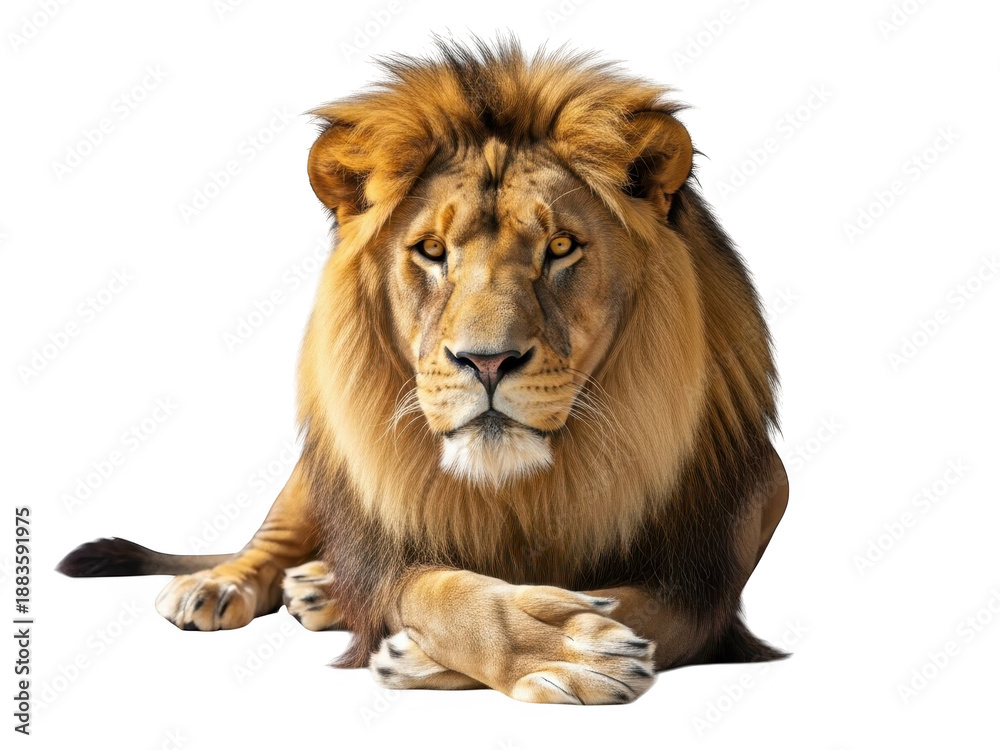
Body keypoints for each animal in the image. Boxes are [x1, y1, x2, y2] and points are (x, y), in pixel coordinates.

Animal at [58, 38, 789, 705]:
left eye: (560, 247)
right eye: (432, 251)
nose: (487, 360)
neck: (526, 490)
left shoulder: (703, 580)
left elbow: (644, 608)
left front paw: (454, 651)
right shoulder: (395, 547)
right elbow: (433, 590)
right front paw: (550, 645)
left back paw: (319, 590)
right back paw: (227, 585)